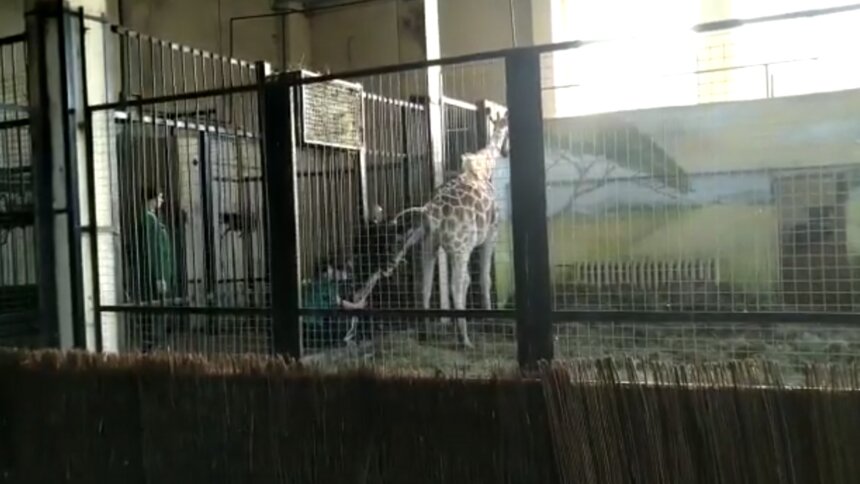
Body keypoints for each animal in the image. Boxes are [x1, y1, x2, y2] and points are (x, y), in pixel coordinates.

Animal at [350, 109, 508, 348]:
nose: (507, 150)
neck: (483, 166)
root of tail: (430, 211)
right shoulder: (491, 233)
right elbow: (483, 278)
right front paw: (489, 316)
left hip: (429, 243)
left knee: (424, 284)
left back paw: (423, 332)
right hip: (458, 247)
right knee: (456, 285)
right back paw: (464, 340)